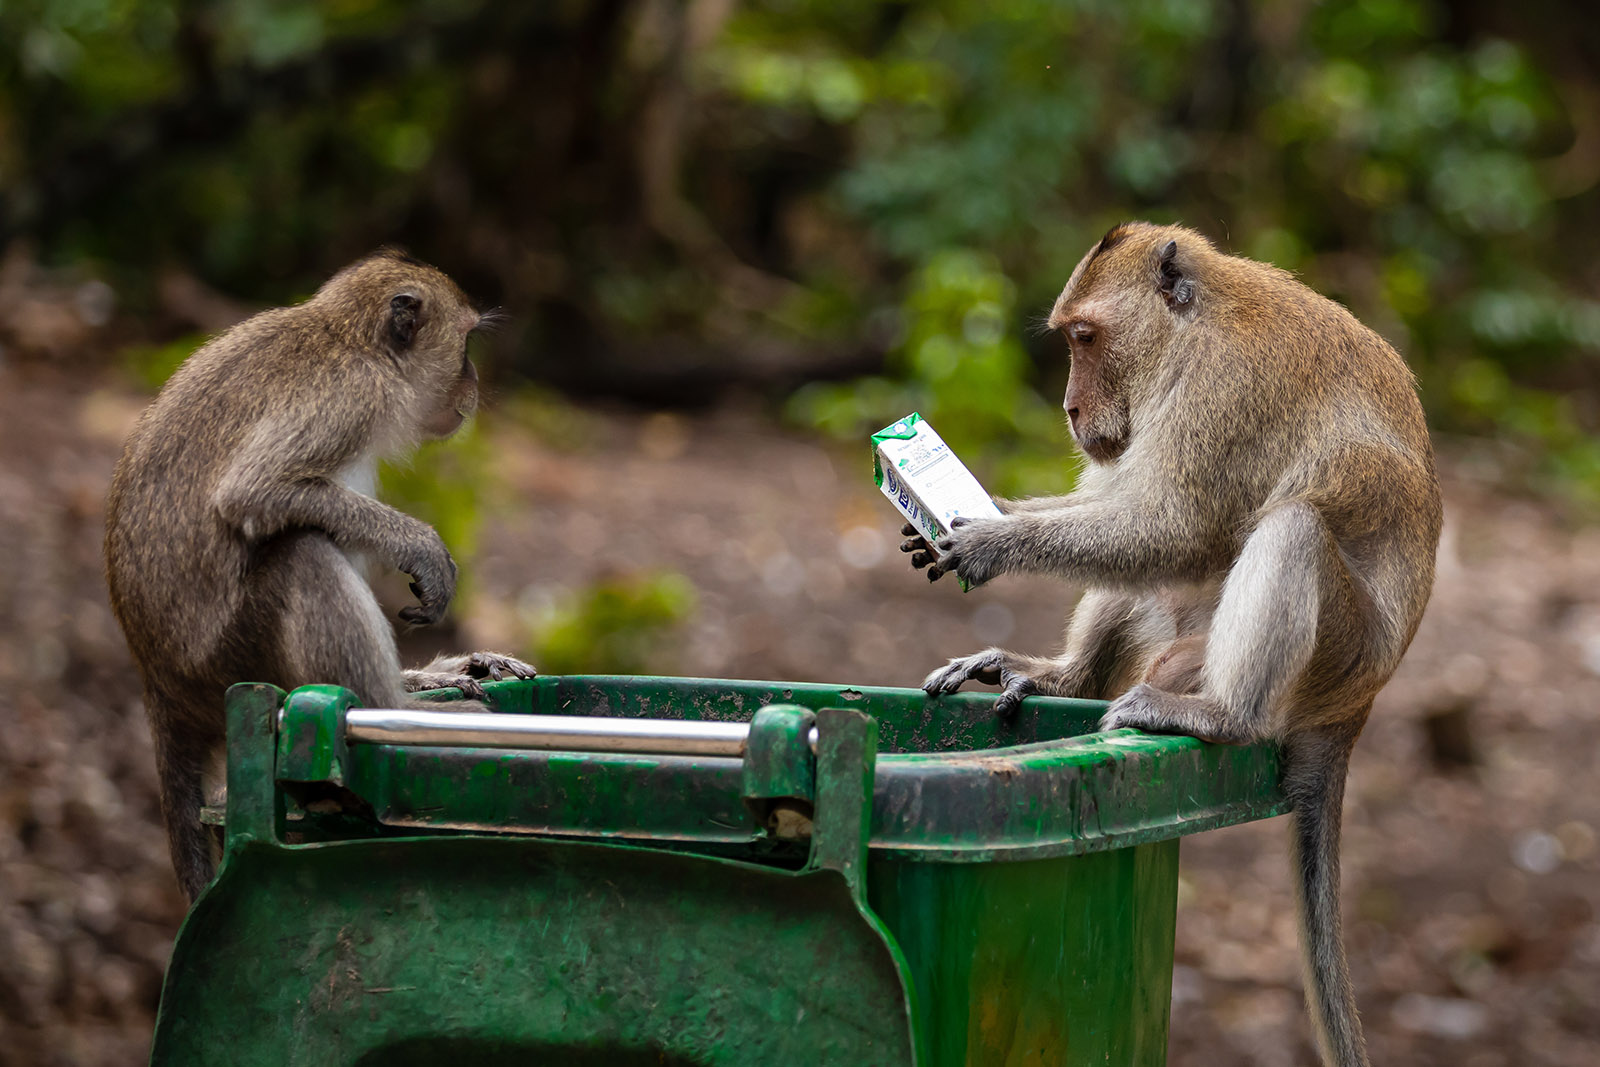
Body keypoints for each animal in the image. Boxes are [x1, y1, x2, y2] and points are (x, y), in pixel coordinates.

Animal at [104, 251, 537, 902]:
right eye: (463, 344)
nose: (475, 384)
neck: (351, 340)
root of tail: (160, 687)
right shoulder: (352, 397)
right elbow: (255, 491)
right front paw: (422, 546)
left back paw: (411, 686)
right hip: (231, 659)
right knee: (302, 553)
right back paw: (392, 708)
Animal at [908, 223, 1446, 1067]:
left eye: (1085, 338)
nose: (1070, 407)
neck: (1190, 330)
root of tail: (1360, 704)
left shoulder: (1223, 389)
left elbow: (1173, 525)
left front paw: (994, 539)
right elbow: (1133, 514)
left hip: (1336, 653)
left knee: (1290, 529)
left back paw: (1223, 714)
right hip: (1187, 644)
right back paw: (1063, 678)